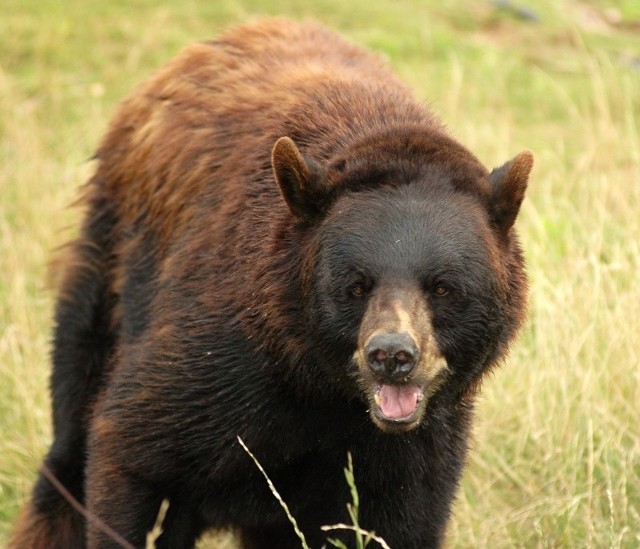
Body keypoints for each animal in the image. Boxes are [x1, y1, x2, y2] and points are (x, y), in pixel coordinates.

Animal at [12, 17, 532, 548]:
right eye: (355, 285)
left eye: (443, 286)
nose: (391, 355)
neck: (325, 393)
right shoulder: (219, 362)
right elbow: (131, 450)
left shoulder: (419, 446)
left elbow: (399, 522)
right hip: (112, 266)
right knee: (72, 430)